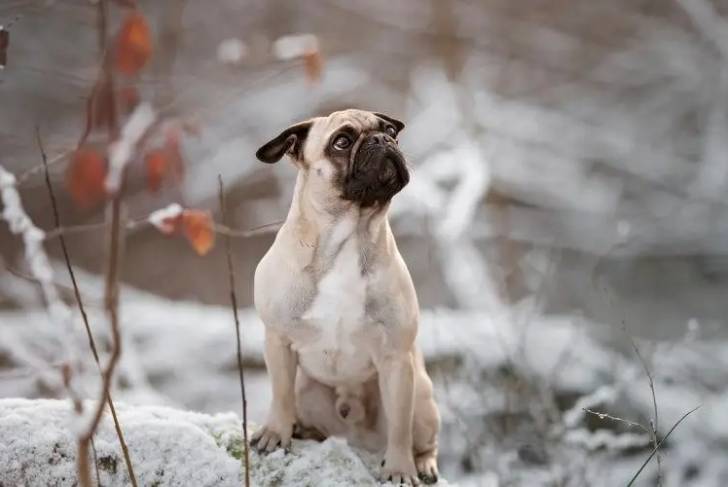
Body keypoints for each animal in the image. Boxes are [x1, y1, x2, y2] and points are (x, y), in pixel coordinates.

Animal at [253, 108, 440, 486]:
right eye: (342, 141)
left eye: (390, 132)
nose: (383, 140)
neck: (349, 235)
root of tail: (355, 439)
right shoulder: (278, 341)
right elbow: (280, 394)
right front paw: (276, 432)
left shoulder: (397, 362)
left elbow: (400, 428)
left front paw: (400, 468)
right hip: (306, 388)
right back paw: (302, 431)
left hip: (423, 399)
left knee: (421, 438)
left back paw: (424, 464)